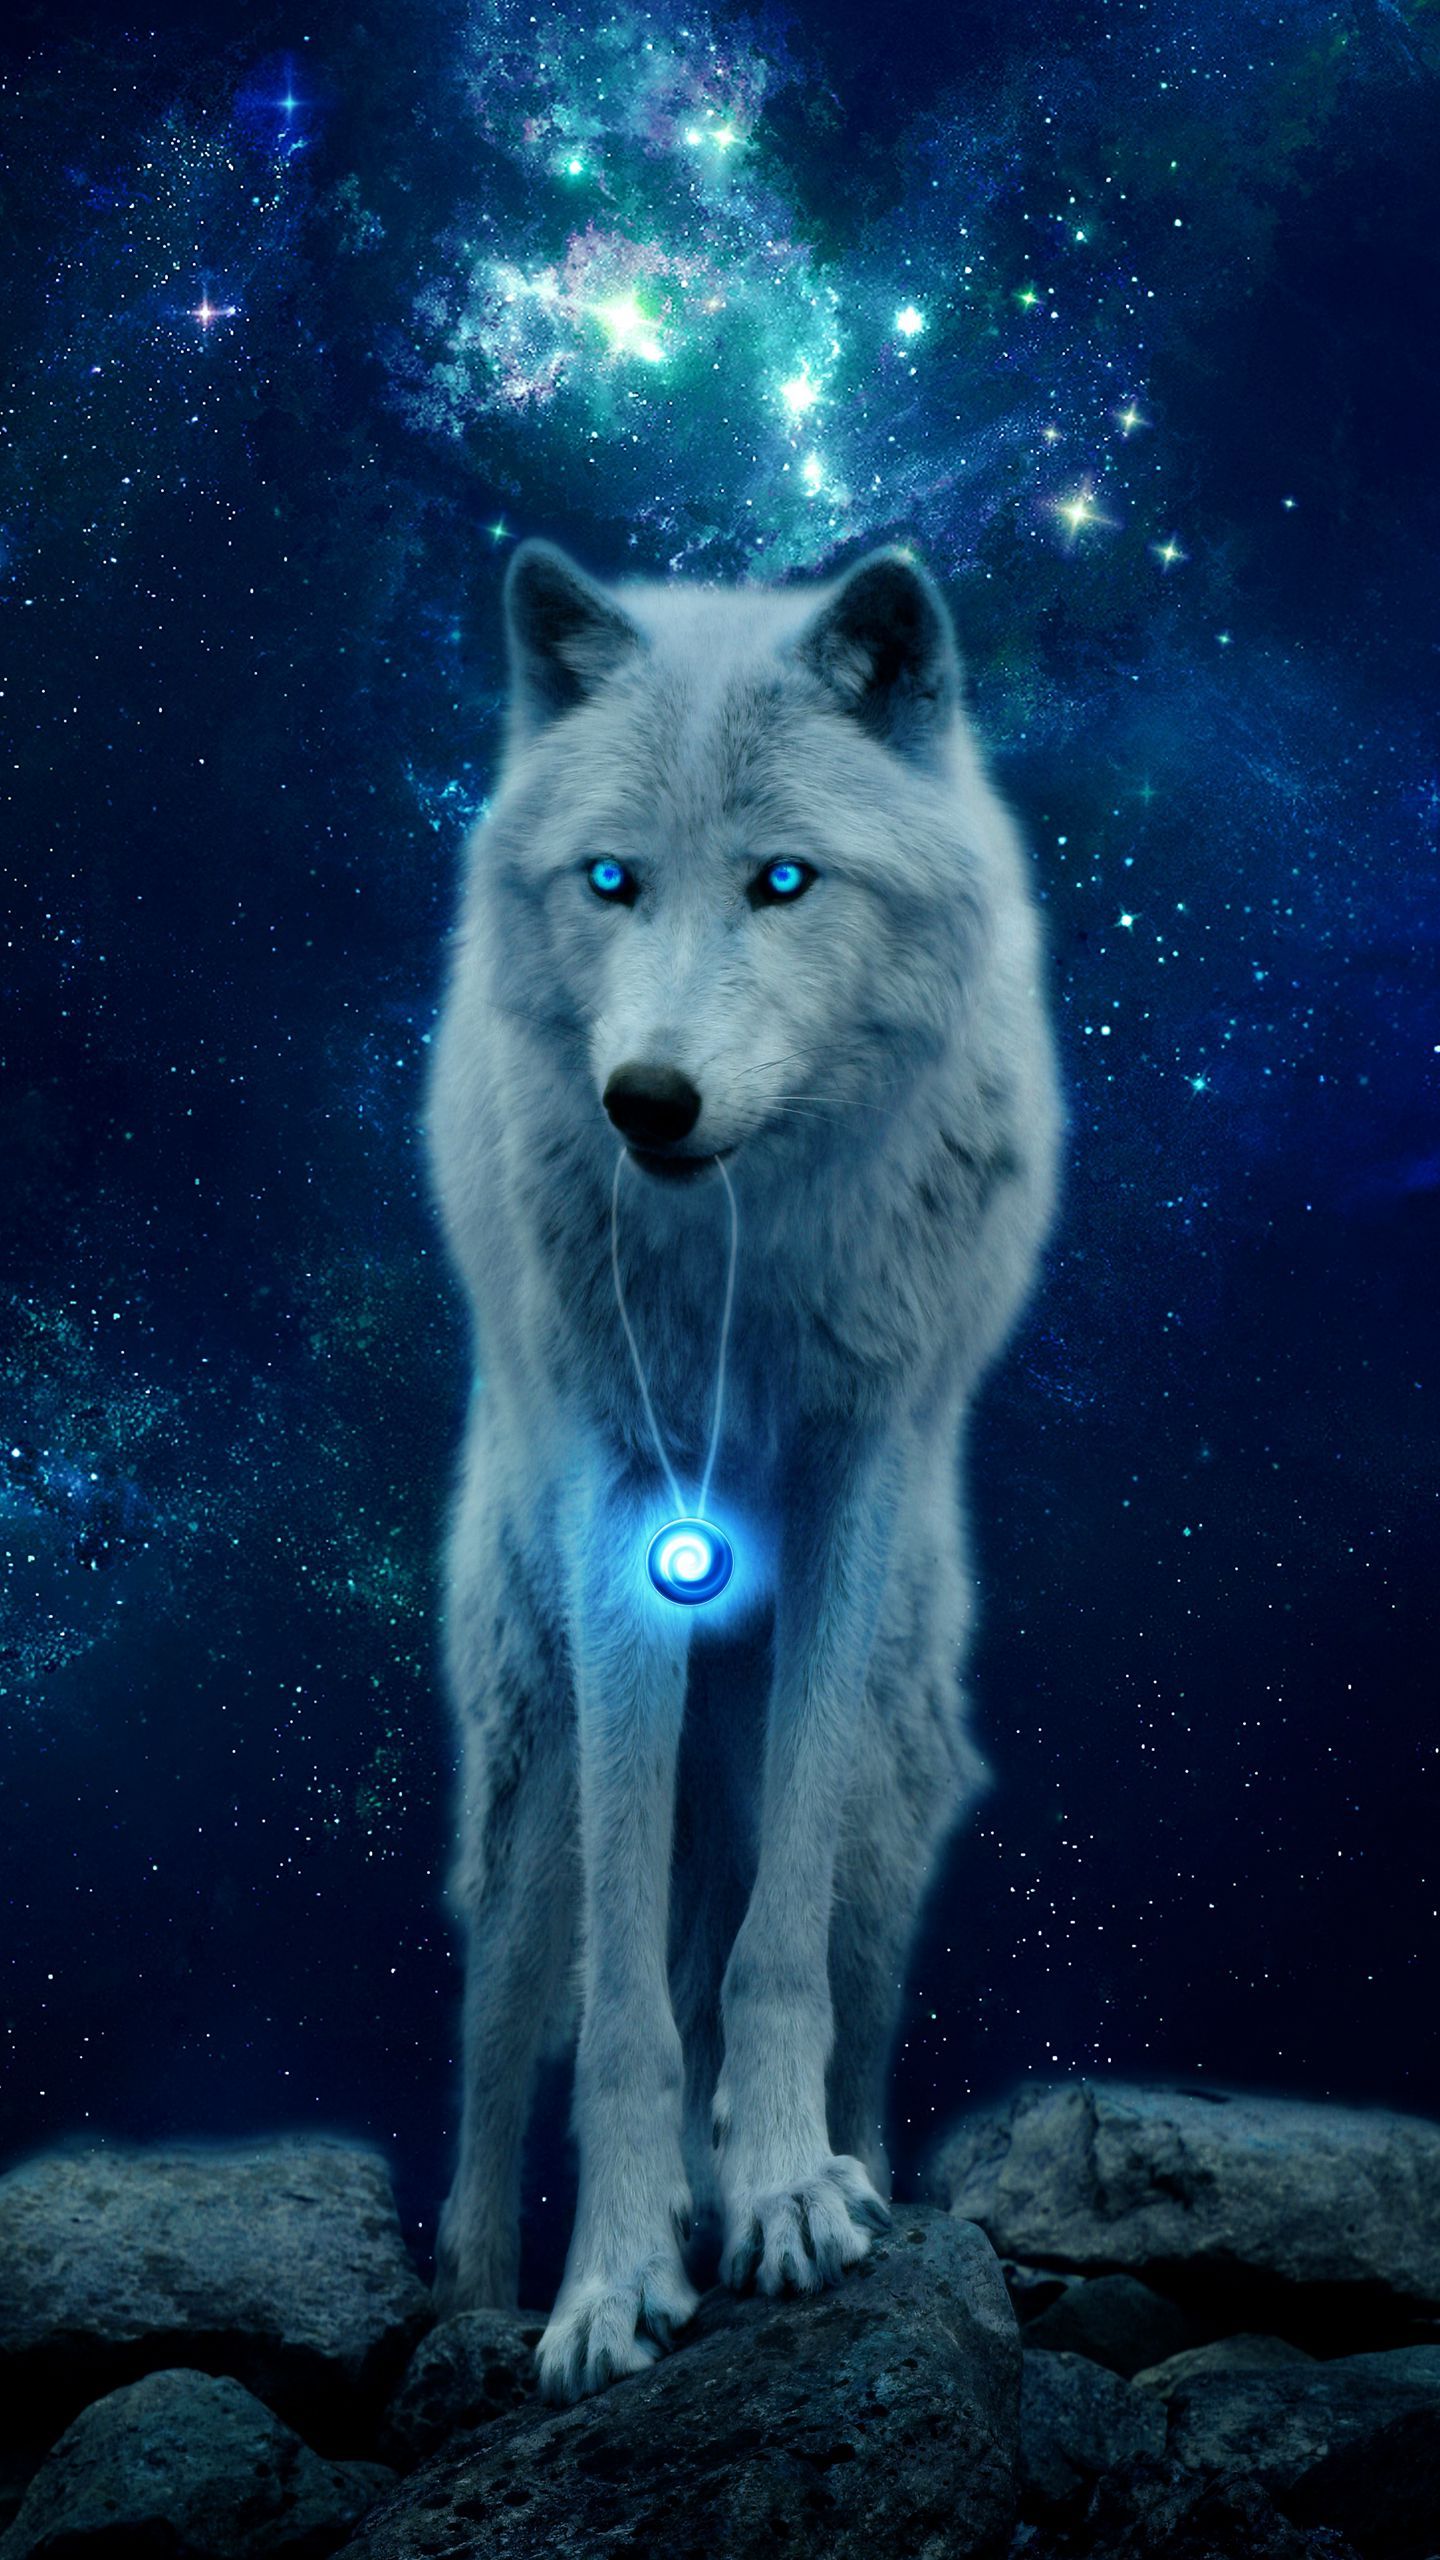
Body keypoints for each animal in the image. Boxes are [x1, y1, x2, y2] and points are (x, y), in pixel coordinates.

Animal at [424, 537, 1062, 2404]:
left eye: (786, 880)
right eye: (611, 881)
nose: (647, 1098)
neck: (740, 1256)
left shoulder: (854, 1481)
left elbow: (769, 1969)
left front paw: (782, 2193)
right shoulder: (630, 1512)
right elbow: (624, 2025)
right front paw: (609, 2283)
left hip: (897, 1791)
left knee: (825, 1982)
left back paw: (823, 2172)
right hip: (532, 1763)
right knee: (500, 2051)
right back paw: (475, 2300)